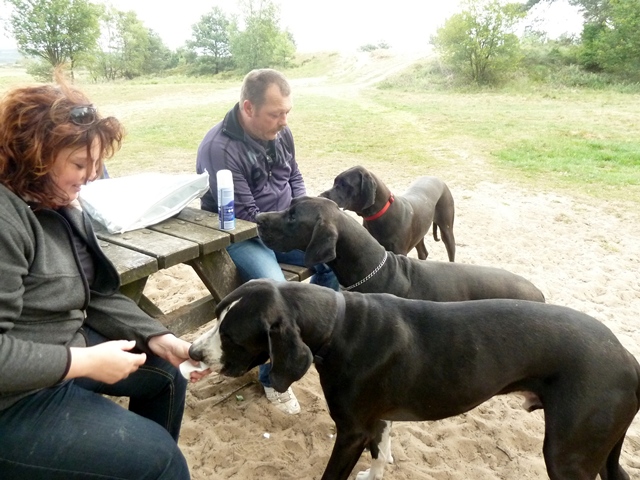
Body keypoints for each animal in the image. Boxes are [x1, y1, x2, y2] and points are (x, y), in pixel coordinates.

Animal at [189, 280, 640, 480]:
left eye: (231, 336)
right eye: (217, 316)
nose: (193, 353)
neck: (338, 325)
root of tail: (628, 359)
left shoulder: (350, 431)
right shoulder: (374, 422)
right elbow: (381, 453)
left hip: (566, 457)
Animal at [320, 166, 456, 261]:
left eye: (344, 184)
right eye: (335, 182)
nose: (321, 196)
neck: (381, 215)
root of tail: (438, 179)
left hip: (447, 230)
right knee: (423, 253)